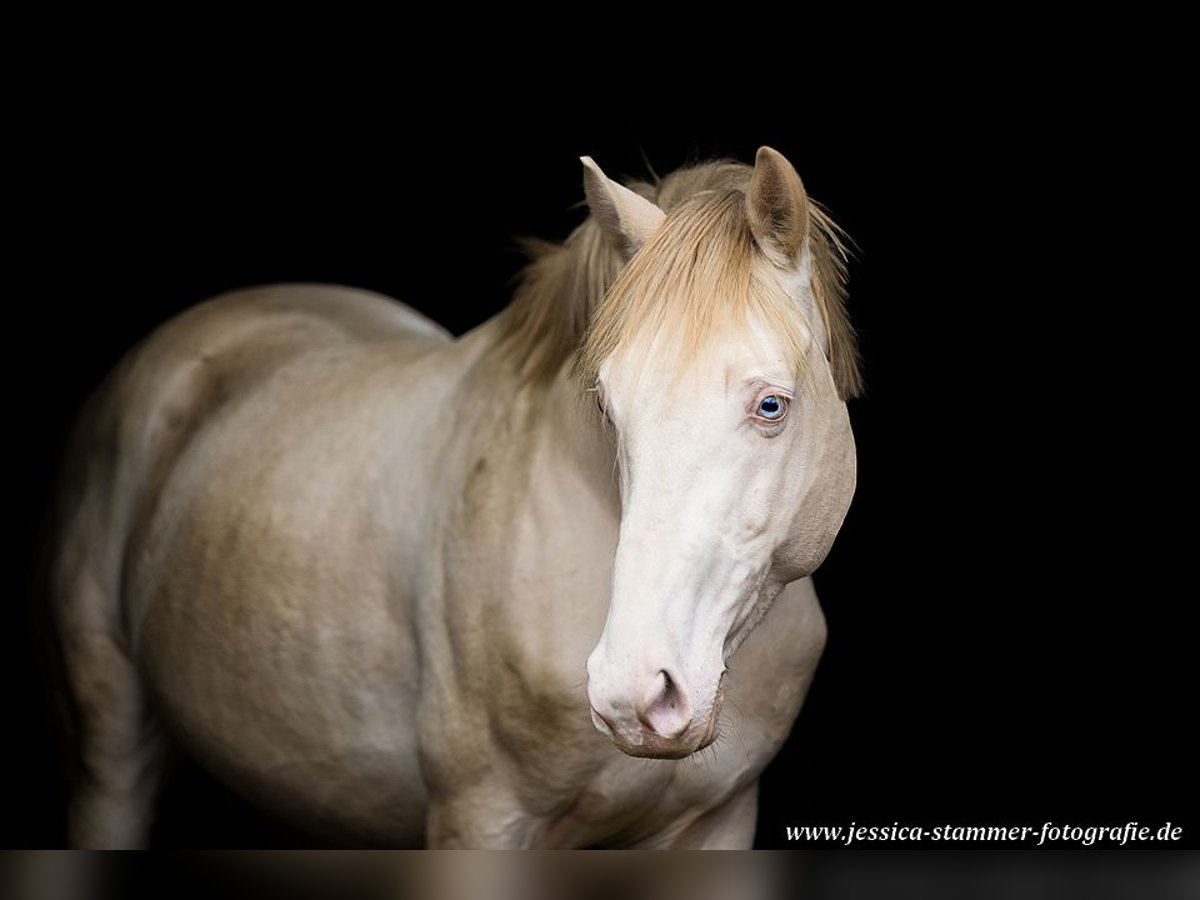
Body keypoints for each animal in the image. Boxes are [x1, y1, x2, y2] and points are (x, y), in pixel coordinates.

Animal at [44, 144, 854, 849]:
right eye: (606, 404)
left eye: (772, 406)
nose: (635, 694)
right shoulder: (483, 819)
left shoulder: (718, 822)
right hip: (113, 740)